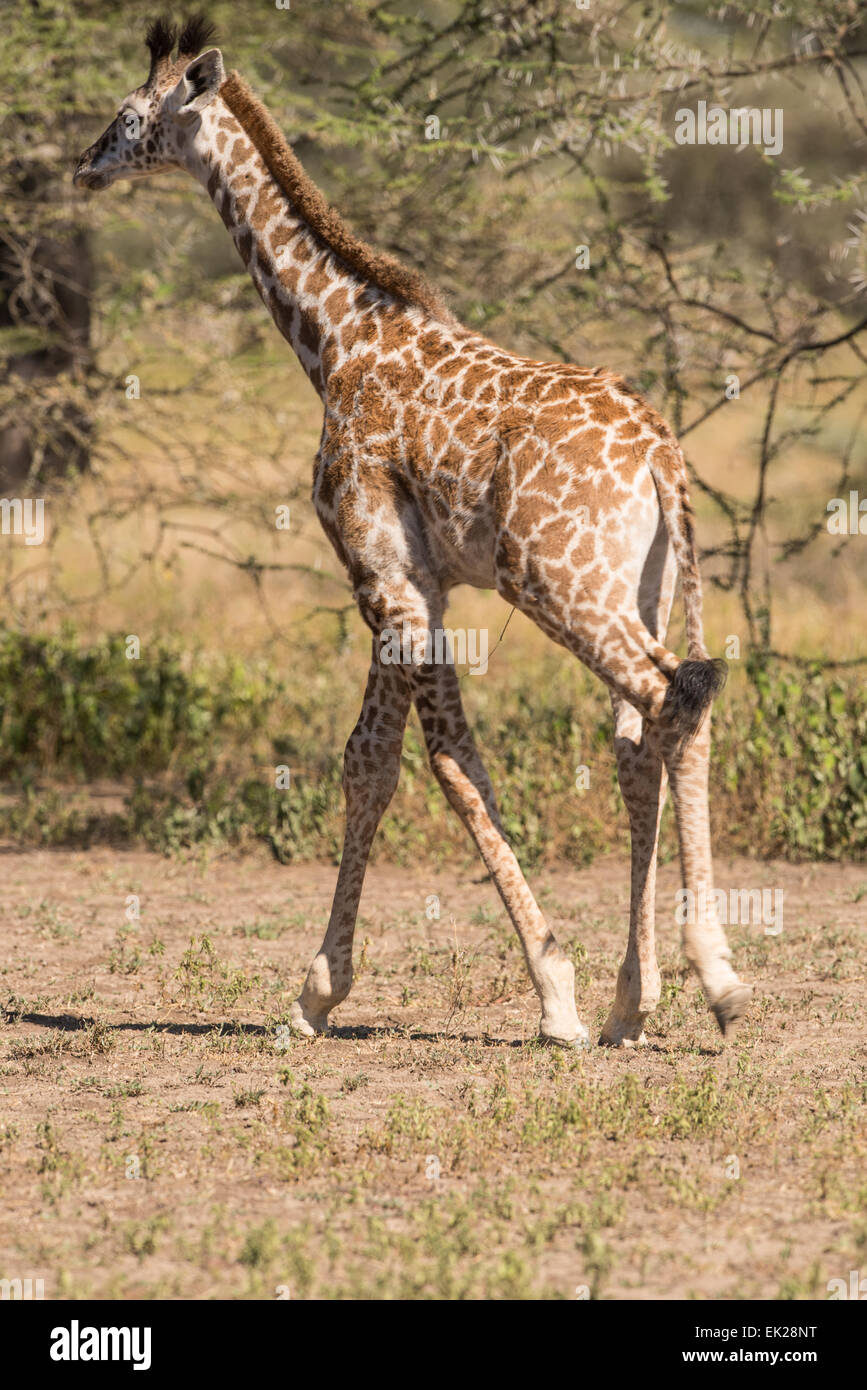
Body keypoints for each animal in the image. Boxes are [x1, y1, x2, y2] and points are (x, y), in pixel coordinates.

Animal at [76, 16, 750, 1045]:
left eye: (126, 115)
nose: (83, 165)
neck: (333, 342)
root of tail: (661, 455)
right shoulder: (412, 584)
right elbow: (380, 765)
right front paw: (327, 991)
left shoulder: (384, 576)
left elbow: (428, 764)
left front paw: (541, 996)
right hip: (640, 586)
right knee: (640, 738)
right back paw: (634, 1002)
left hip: (561, 583)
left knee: (674, 699)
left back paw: (714, 978)